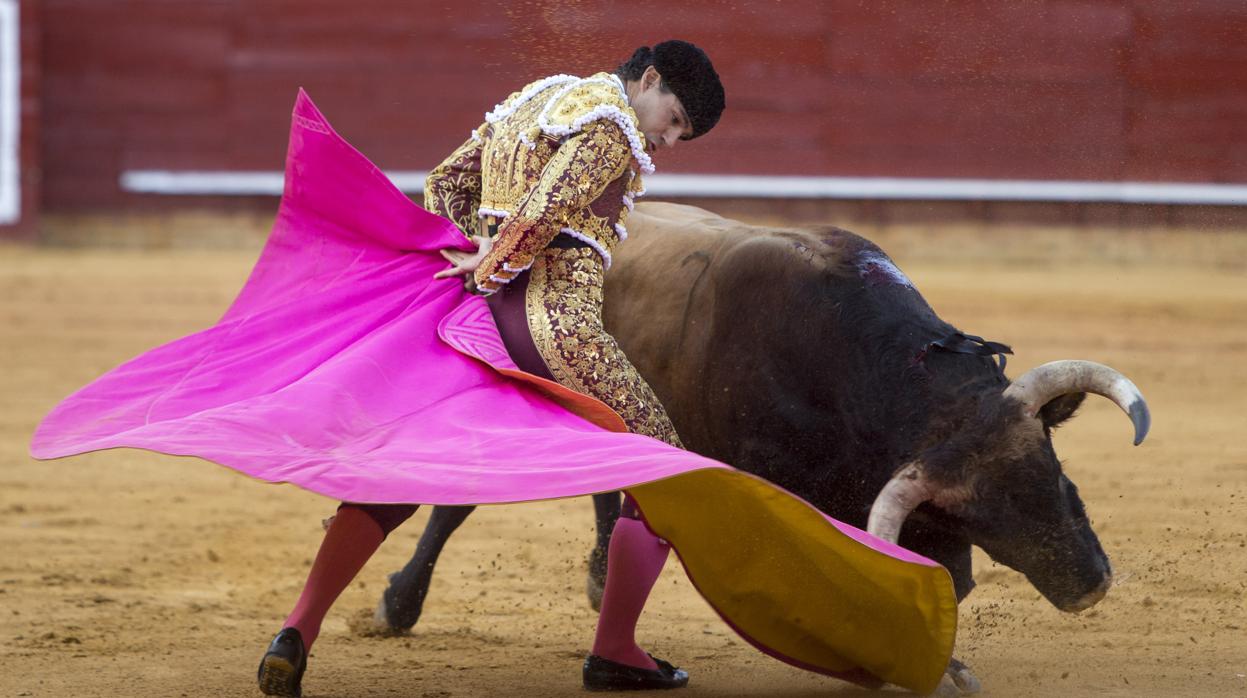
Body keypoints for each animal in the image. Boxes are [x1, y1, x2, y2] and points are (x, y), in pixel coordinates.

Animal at [366, 200, 1147, 693]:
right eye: (982, 515)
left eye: (1057, 476)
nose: (1087, 585)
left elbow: (943, 580)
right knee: (457, 503)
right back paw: (396, 607)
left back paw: (598, 575)